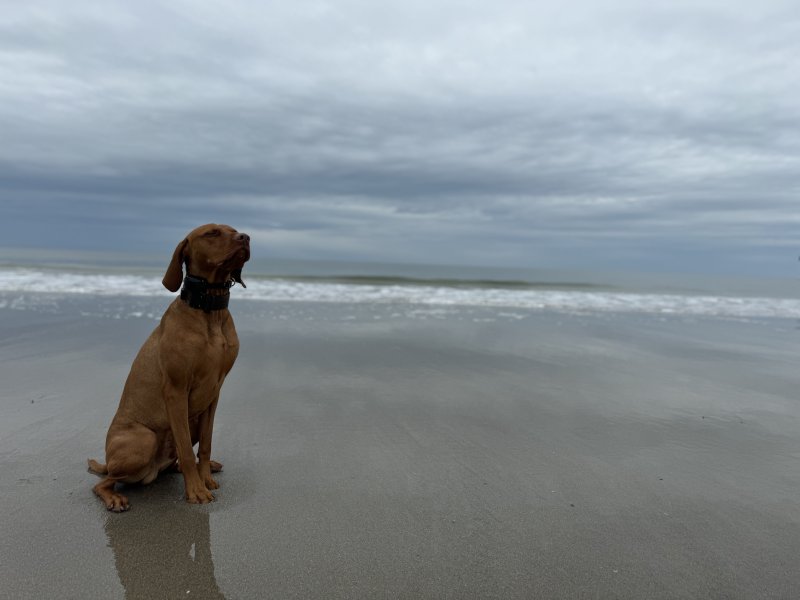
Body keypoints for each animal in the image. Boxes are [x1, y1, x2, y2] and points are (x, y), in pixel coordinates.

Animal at [88, 223, 250, 511]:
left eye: (234, 230)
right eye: (212, 233)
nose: (245, 238)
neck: (209, 309)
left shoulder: (214, 393)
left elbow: (206, 444)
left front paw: (205, 478)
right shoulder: (175, 390)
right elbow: (186, 450)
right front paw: (196, 490)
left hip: (190, 421)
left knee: (171, 463)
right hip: (144, 440)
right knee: (103, 482)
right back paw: (114, 496)